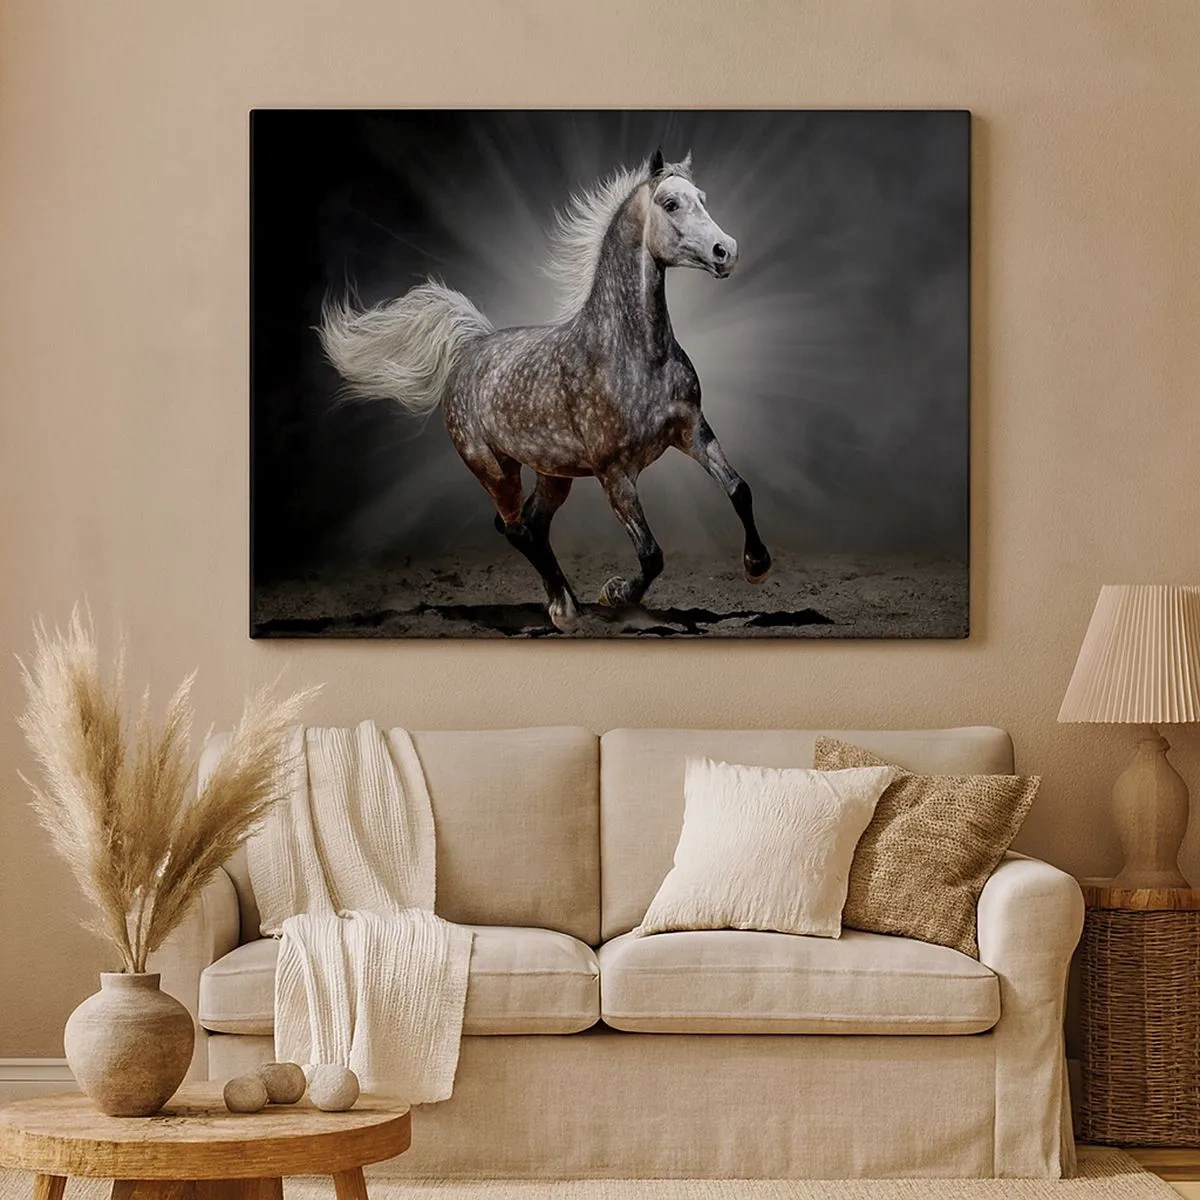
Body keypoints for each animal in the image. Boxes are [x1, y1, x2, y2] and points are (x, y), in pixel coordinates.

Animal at [319, 148, 771, 632]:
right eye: (670, 203)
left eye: (702, 198)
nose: (727, 251)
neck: (633, 353)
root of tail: (471, 348)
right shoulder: (614, 473)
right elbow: (651, 554)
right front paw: (614, 594)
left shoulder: (693, 432)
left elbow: (739, 489)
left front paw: (757, 565)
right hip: (494, 469)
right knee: (515, 527)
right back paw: (566, 609)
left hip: (554, 474)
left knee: (531, 525)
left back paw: (565, 603)